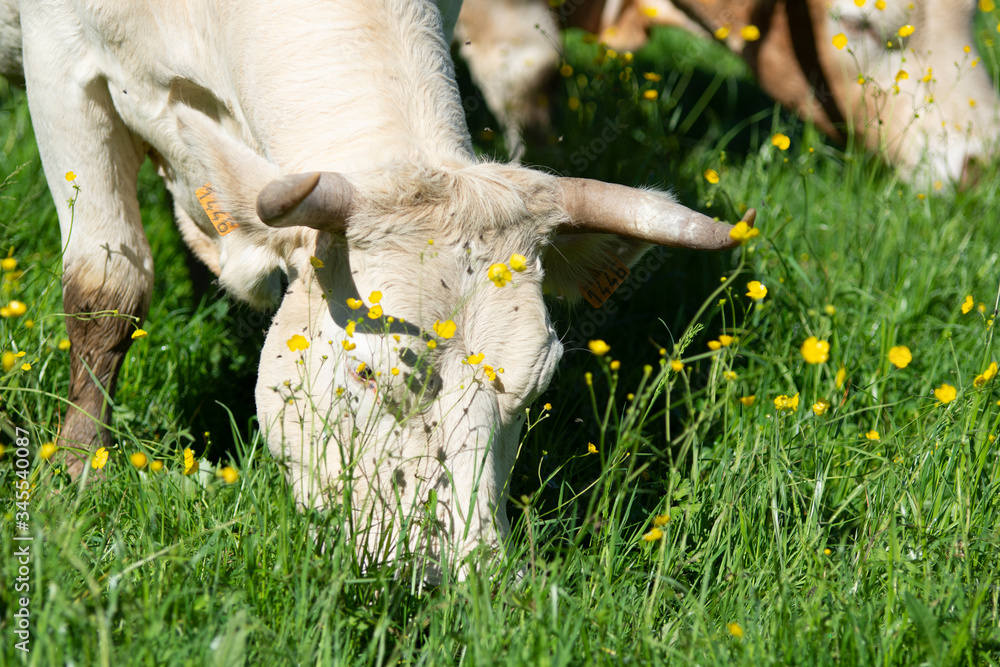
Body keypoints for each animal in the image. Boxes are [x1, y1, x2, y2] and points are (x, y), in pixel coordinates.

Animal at [0, 0, 750, 576]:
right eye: (365, 372)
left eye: (535, 387)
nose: (458, 574)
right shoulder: (60, 61)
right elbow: (107, 283)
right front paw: (77, 472)